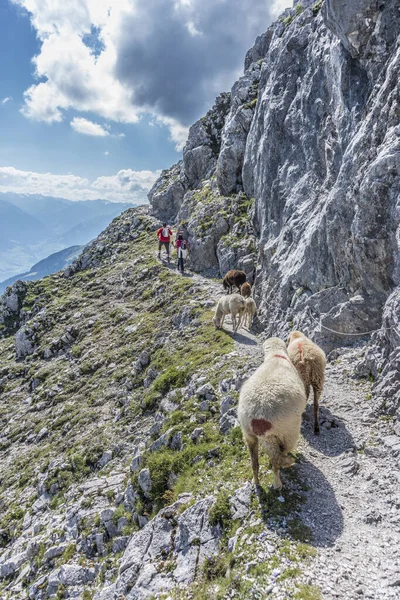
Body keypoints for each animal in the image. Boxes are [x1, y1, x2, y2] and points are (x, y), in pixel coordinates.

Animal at [238, 336, 306, 490]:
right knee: (278, 458)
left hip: (248, 433)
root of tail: (258, 420)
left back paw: (256, 483)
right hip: (287, 431)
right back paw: (277, 483)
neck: (275, 356)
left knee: (255, 463)